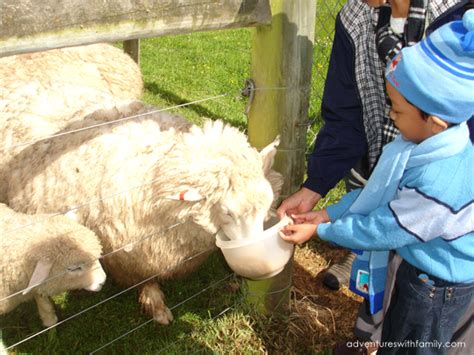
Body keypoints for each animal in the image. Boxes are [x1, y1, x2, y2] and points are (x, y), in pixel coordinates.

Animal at [6, 101, 282, 326]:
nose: (262, 262)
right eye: (227, 212)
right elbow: (145, 279)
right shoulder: (132, 254)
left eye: (268, 202)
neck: (155, 175)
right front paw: (157, 307)